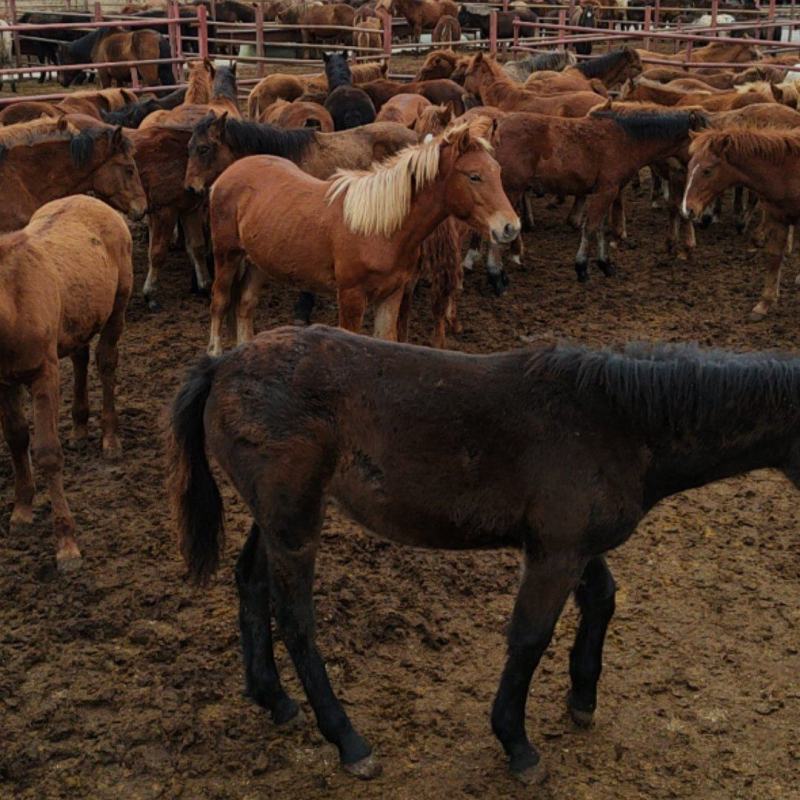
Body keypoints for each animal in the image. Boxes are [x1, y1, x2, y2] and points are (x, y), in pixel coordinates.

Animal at [1, 195, 132, 571]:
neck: (13, 304)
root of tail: (95, 200)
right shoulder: (5, 382)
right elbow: (16, 438)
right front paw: (22, 510)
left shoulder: (44, 375)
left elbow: (46, 451)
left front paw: (66, 545)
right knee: (80, 356)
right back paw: (78, 427)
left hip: (118, 307)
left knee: (106, 362)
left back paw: (109, 439)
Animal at [168, 325, 800, 784]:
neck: (615, 423)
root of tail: (221, 366)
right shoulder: (554, 553)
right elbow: (529, 637)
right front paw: (517, 744)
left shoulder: (570, 544)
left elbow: (602, 598)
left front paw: (582, 698)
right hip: (294, 520)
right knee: (296, 620)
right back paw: (349, 741)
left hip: (274, 517)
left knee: (251, 584)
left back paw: (272, 699)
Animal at [204, 118, 518, 353]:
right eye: (474, 176)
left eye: (497, 170)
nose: (510, 227)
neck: (381, 229)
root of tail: (228, 174)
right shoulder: (351, 296)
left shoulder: (392, 295)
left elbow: (386, 339)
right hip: (227, 255)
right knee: (220, 301)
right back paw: (215, 352)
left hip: (258, 261)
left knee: (245, 305)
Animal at [682, 127, 800, 320]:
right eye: (689, 167)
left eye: (707, 170)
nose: (688, 209)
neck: (787, 172)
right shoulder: (778, 218)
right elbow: (774, 257)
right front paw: (763, 305)